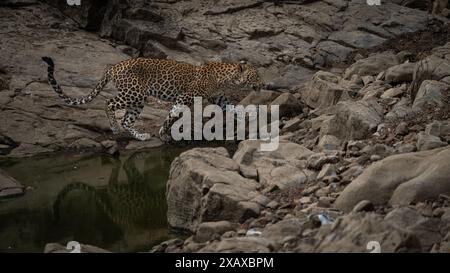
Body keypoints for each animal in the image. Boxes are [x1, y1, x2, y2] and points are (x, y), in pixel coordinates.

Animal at [42, 56, 264, 141]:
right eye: (256, 76)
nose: (263, 84)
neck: (227, 79)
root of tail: (113, 67)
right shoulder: (186, 96)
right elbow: (174, 114)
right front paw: (163, 132)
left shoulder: (219, 98)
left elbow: (234, 107)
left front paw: (247, 118)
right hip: (134, 92)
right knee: (109, 103)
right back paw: (114, 128)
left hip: (138, 100)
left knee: (127, 120)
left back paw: (140, 136)